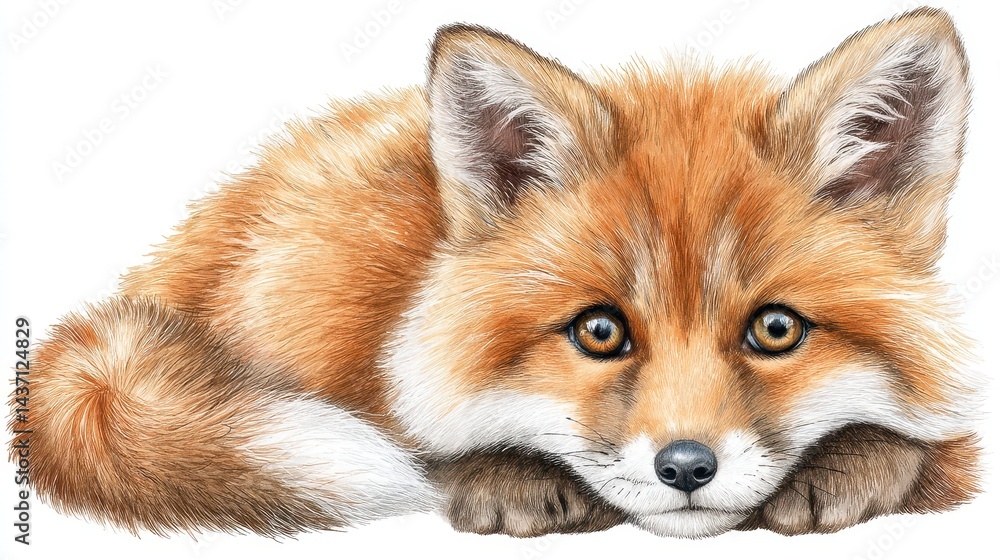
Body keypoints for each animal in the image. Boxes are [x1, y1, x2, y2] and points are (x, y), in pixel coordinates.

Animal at [11, 7, 982, 539]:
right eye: (600, 331)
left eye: (776, 329)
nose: (685, 467)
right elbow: (422, 430)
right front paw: (503, 475)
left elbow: (936, 448)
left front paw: (857, 462)